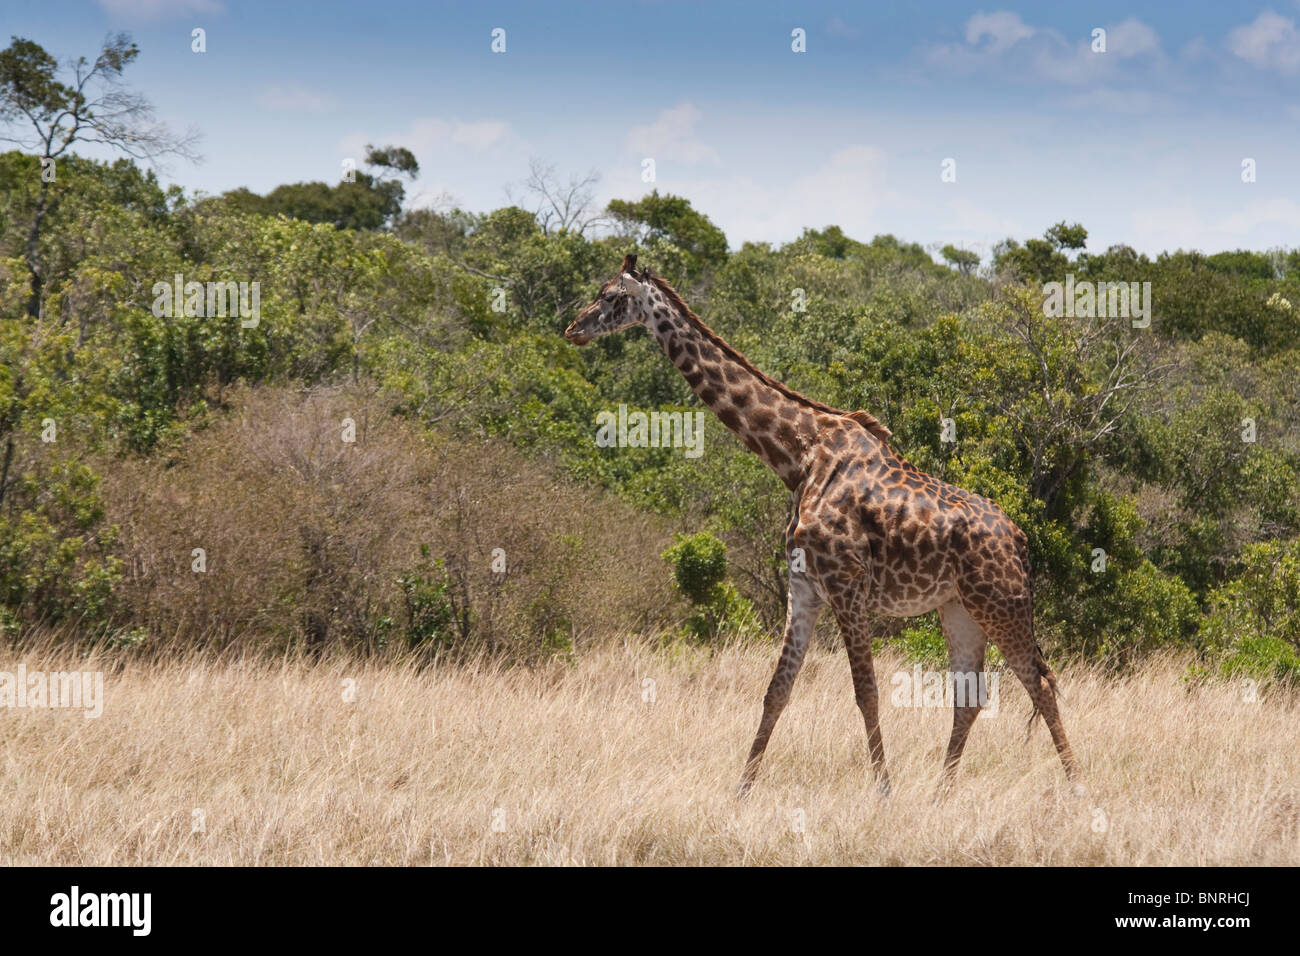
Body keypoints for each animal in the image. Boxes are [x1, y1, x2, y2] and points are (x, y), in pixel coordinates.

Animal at [565, 254, 1079, 795]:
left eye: (610, 295)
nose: (573, 329)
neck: (797, 457)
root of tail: (1021, 540)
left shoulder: (846, 586)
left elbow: (866, 692)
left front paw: (883, 790)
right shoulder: (804, 588)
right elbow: (777, 690)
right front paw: (742, 790)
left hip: (1001, 604)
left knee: (1040, 683)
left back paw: (1076, 785)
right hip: (959, 609)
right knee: (971, 696)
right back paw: (942, 794)